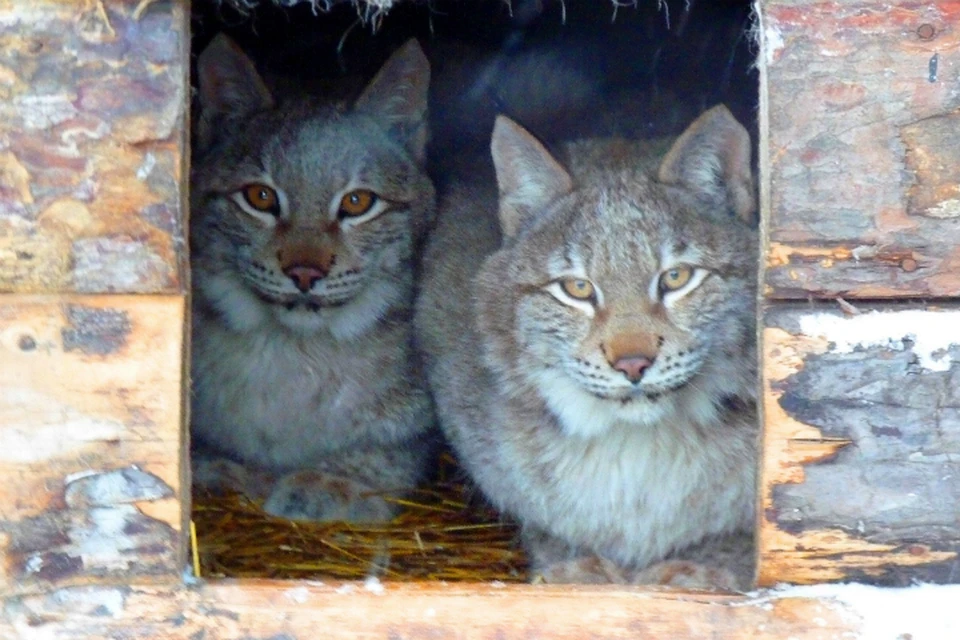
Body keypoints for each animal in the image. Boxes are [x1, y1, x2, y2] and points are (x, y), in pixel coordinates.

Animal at [189, 34, 436, 522]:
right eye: (259, 197)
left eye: (358, 202)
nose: (305, 272)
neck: (295, 349)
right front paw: (233, 473)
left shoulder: (421, 429)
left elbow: (386, 453)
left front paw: (328, 484)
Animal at [414, 105, 758, 588]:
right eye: (576, 288)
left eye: (676, 278)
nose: (633, 364)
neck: (637, 442)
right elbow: (546, 520)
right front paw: (576, 568)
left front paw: (702, 570)